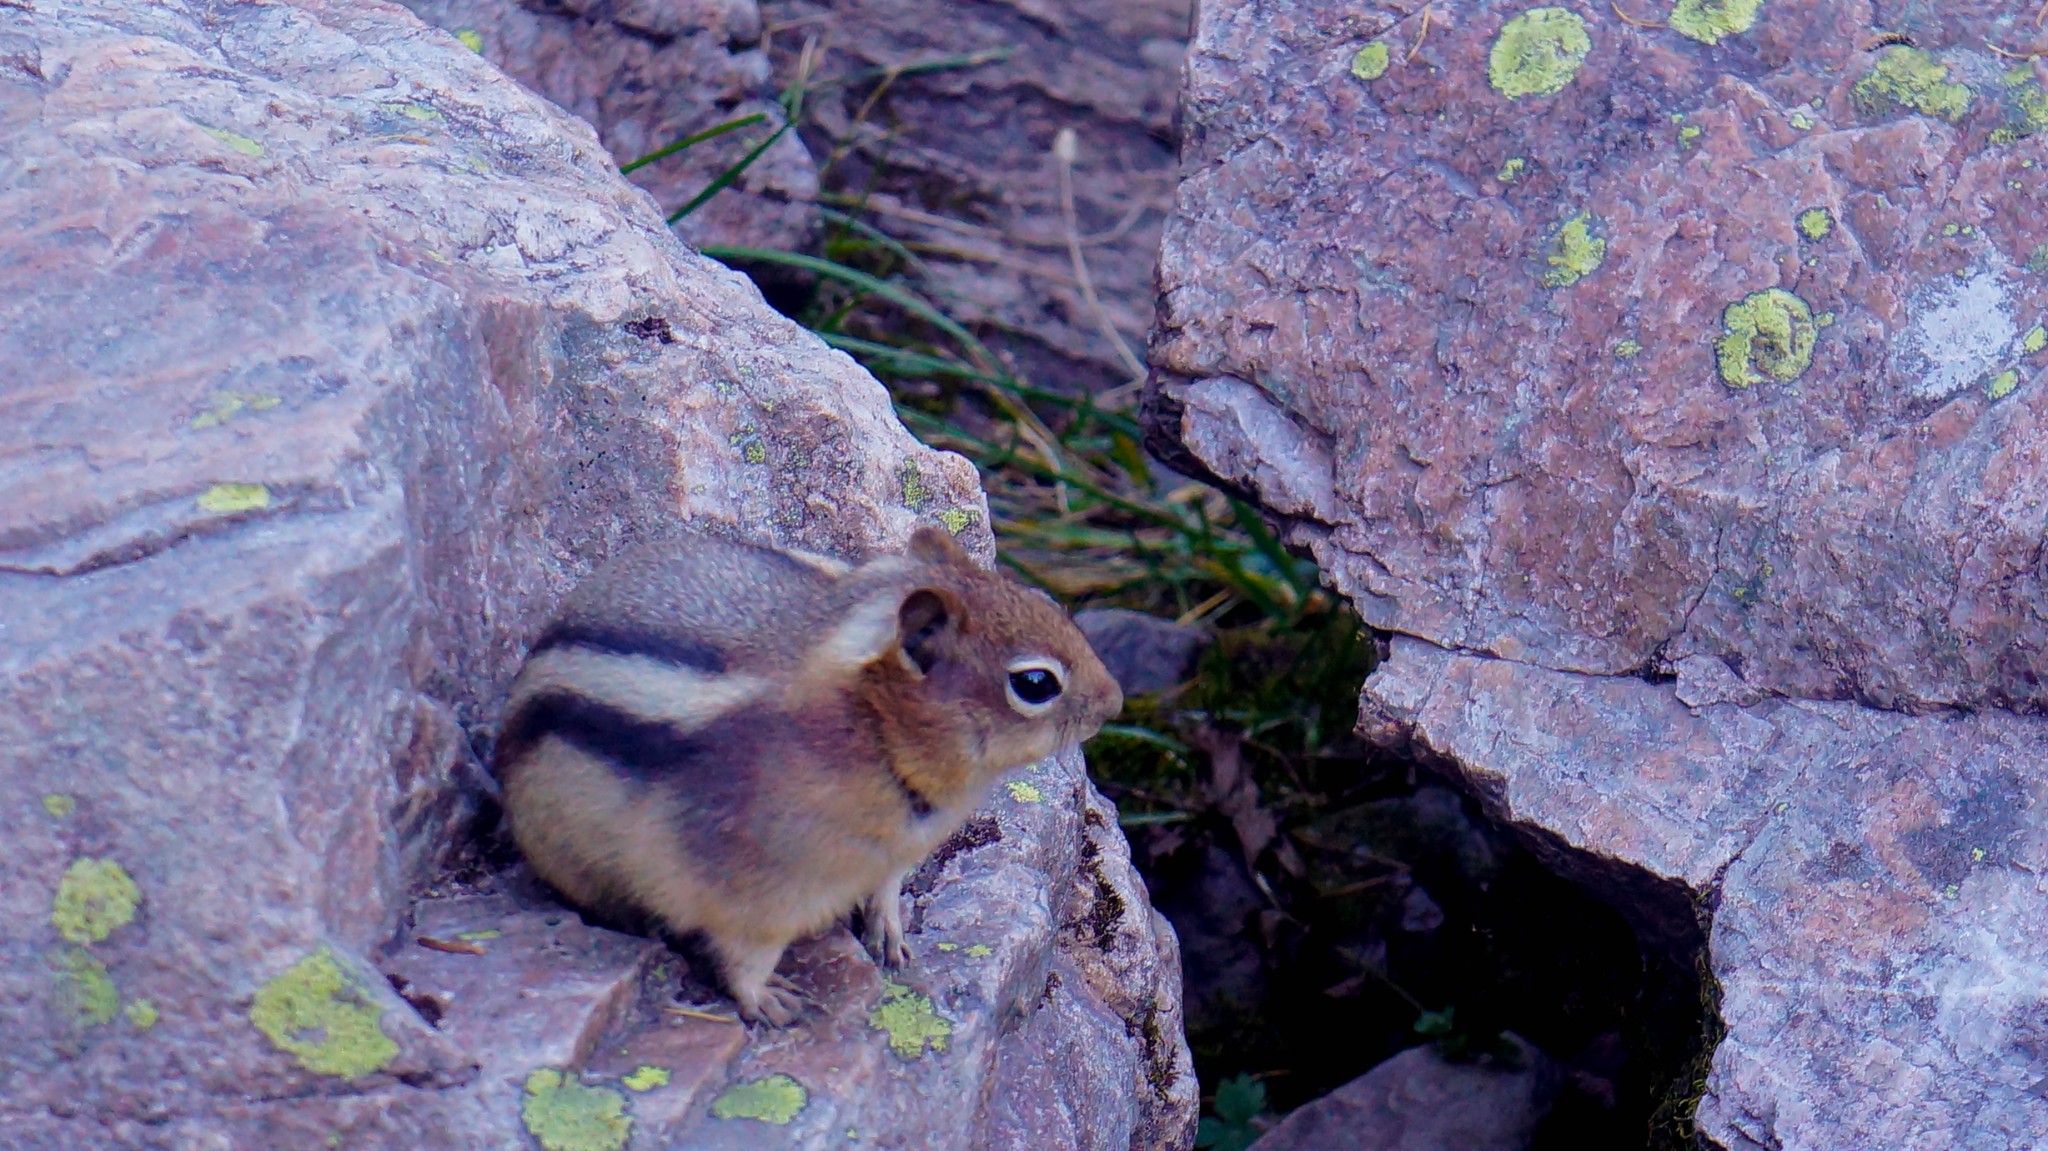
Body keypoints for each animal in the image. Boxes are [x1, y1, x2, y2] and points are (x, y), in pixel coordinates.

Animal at [495, 524, 1130, 1015]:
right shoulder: (753, 889)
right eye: (1035, 683)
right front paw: (764, 1000)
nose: (1116, 702)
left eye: (1043, 601)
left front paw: (890, 933)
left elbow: (886, 888)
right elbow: (744, 954)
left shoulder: (889, 855)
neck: (873, 729)